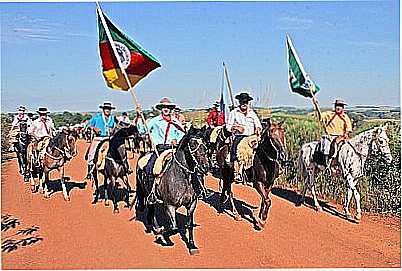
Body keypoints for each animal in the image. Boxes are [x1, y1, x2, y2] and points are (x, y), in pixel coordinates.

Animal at [136, 126, 210, 256]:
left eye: (205, 143)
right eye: (192, 144)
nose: (205, 167)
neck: (182, 176)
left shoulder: (191, 204)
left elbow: (189, 225)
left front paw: (192, 245)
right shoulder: (169, 205)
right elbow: (173, 227)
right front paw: (162, 235)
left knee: (151, 211)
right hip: (147, 194)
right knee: (152, 211)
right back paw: (157, 229)